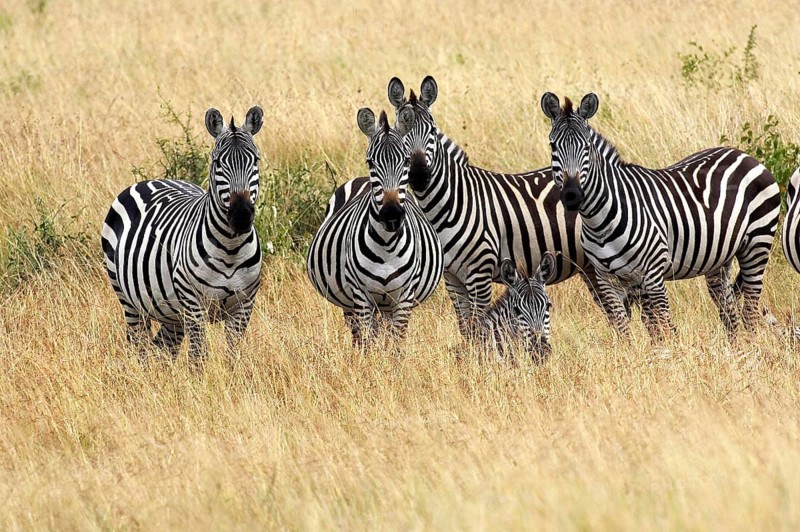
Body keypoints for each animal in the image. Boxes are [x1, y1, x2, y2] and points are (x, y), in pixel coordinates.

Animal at [101, 106, 264, 363]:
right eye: (217, 162)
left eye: (255, 160)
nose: (241, 216)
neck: (230, 247)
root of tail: (153, 180)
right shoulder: (193, 303)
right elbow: (198, 356)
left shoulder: (244, 304)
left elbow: (233, 356)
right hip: (128, 300)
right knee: (139, 347)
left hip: (171, 313)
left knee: (163, 350)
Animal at [306, 106, 443, 347]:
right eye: (370, 162)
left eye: (406, 161)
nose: (391, 215)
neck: (387, 246)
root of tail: (360, 179)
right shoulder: (361, 296)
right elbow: (368, 344)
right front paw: (370, 358)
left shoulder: (404, 296)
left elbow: (397, 343)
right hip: (351, 303)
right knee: (358, 336)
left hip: (386, 304)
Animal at [325, 76, 634, 338]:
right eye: (404, 139)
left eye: (432, 131)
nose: (420, 174)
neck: (449, 204)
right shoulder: (452, 278)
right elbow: (465, 327)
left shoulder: (480, 273)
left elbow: (478, 324)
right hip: (589, 267)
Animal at [540, 92, 780, 339]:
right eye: (552, 145)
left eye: (587, 146)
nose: (572, 195)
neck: (599, 223)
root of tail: (744, 155)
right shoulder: (606, 279)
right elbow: (624, 332)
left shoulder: (653, 274)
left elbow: (664, 327)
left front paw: (671, 350)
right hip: (720, 259)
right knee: (729, 312)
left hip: (757, 243)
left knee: (750, 312)